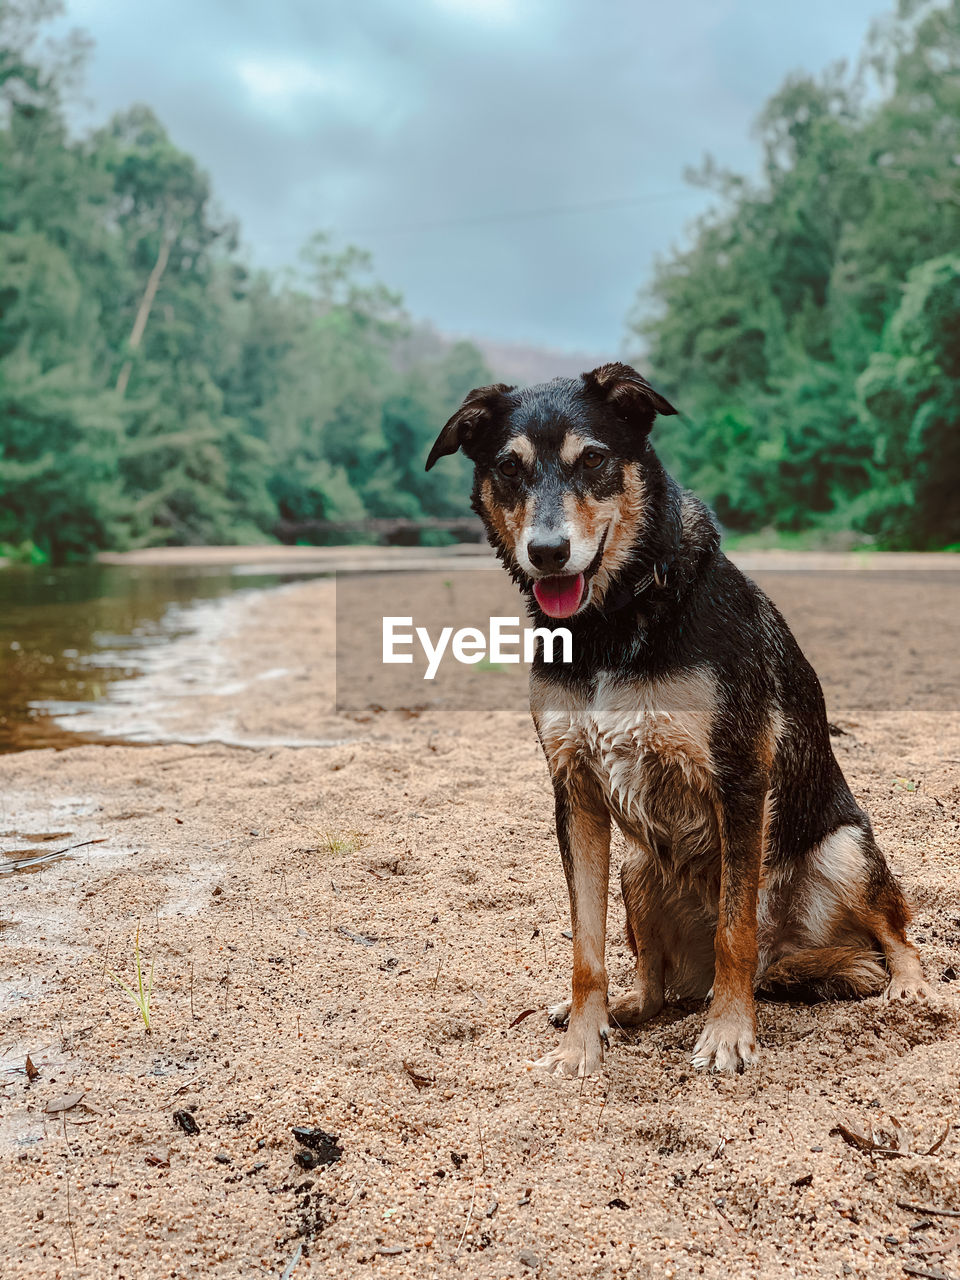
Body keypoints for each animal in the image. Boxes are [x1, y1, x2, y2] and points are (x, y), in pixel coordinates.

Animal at [422, 366, 931, 1075]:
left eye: (594, 460)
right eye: (508, 467)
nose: (547, 552)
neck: (610, 625)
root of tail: (790, 957)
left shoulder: (739, 777)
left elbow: (735, 930)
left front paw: (728, 1035)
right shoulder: (574, 790)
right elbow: (586, 944)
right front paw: (583, 1042)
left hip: (846, 848)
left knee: (892, 931)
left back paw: (907, 988)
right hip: (638, 867)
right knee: (657, 984)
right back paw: (625, 1008)